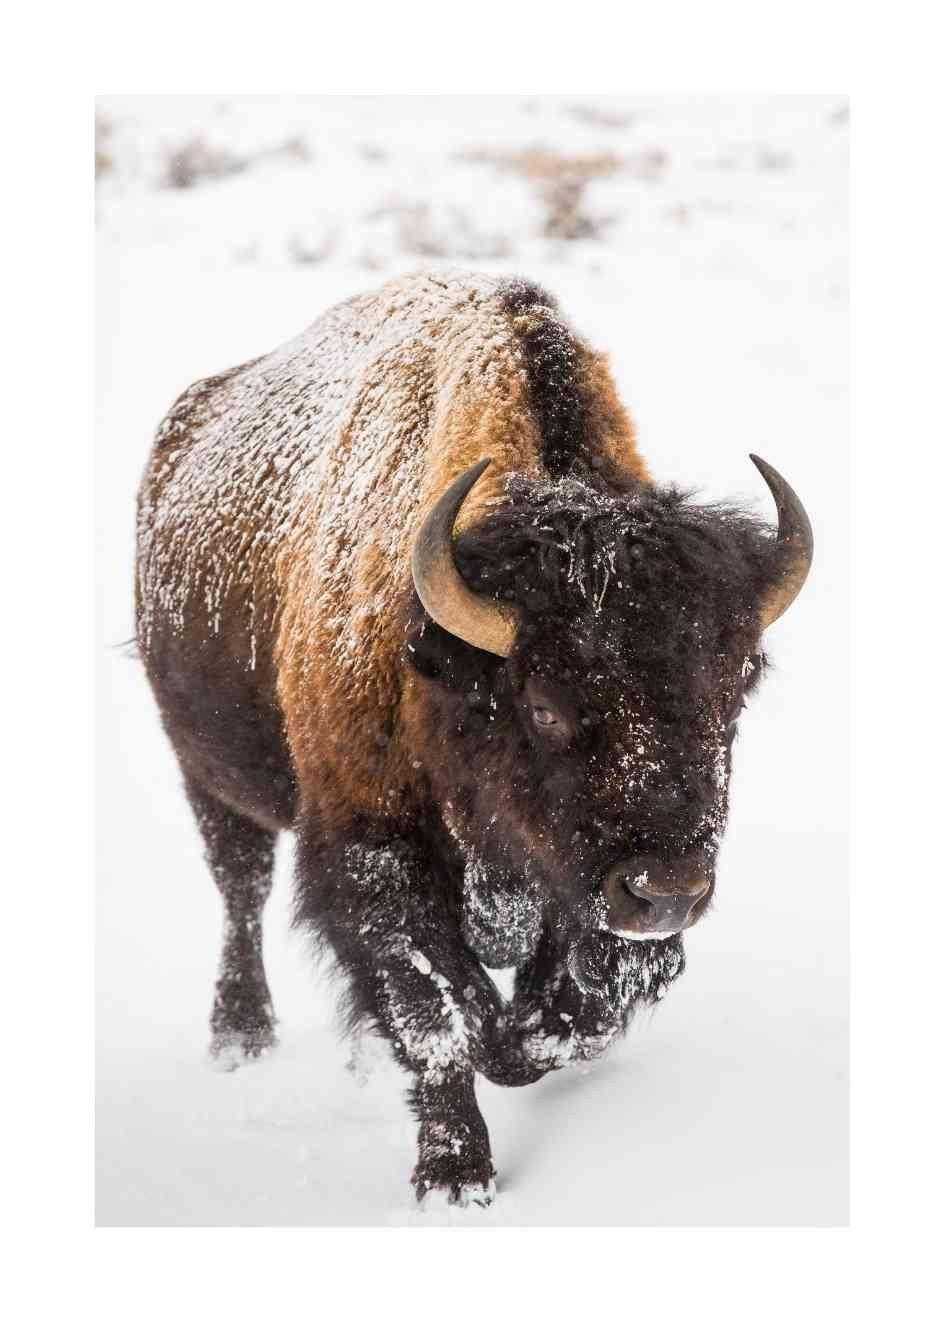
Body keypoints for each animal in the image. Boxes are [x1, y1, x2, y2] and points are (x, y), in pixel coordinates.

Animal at [134, 271, 810, 1211]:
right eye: (545, 703)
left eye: (736, 689)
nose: (667, 891)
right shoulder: (373, 845)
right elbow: (437, 1013)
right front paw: (455, 1176)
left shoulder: (579, 890)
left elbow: (571, 1014)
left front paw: (515, 1043)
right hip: (208, 771)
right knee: (241, 888)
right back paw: (240, 1037)